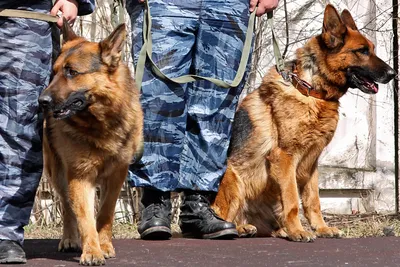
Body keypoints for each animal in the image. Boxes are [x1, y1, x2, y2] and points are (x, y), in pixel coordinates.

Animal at [38, 19, 144, 266]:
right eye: (54, 73)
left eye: (72, 72)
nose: (42, 101)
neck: (100, 123)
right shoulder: (79, 176)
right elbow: (85, 218)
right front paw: (92, 251)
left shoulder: (117, 176)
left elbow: (105, 212)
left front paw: (104, 246)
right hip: (58, 174)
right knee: (67, 207)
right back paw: (69, 239)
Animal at [211, 4, 396, 243]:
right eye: (362, 51)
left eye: (372, 49)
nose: (393, 73)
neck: (311, 89)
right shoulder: (285, 157)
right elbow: (292, 200)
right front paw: (299, 231)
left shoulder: (311, 162)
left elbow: (312, 201)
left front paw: (321, 228)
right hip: (233, 181)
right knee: (224, 215)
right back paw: (237, 228)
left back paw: (272, 229)